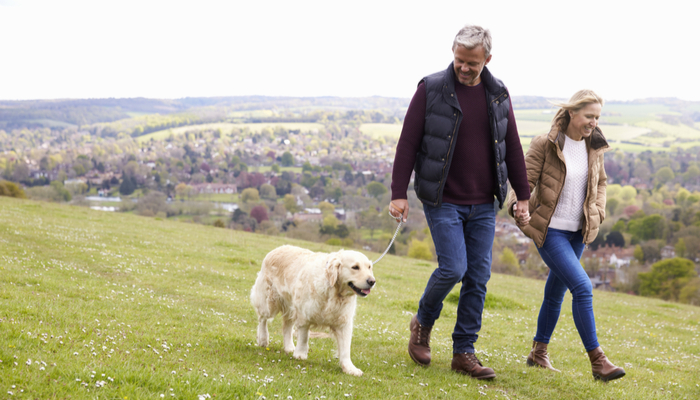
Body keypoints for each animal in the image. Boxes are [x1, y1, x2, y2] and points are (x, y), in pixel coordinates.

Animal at [249, 245, 374, 376]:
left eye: (369, 267)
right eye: (355, 267)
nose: (372, 281)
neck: (333, 292)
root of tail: (278, 248)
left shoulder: (344, 323)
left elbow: (345, 349)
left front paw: (350, 368)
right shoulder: (304, 315)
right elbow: (304, 336)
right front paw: (300, 354)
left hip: (290, 306)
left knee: (286, 326)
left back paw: (289, 347)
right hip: (269, 302)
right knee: (262, 319)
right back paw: (263, 339)